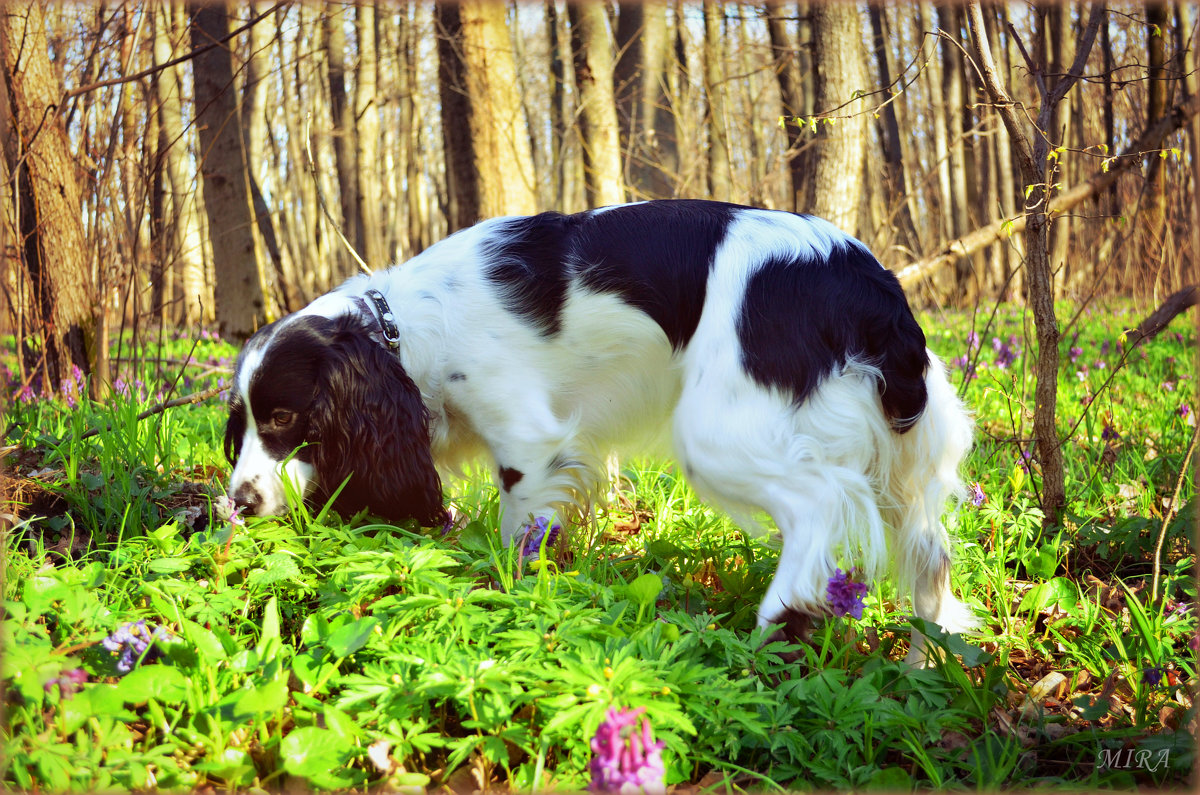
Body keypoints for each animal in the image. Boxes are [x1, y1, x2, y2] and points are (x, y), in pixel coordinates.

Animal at [225, 200, 974, 658]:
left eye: (284, 416)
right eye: (242, 422)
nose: (237, 501)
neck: (401, 324)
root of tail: (871, 280)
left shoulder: (528, 442)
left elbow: (518, 538)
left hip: (720, 434)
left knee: (818, 509)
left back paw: (775, 622)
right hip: (894, 459)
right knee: (929, 557)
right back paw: (924, 662)